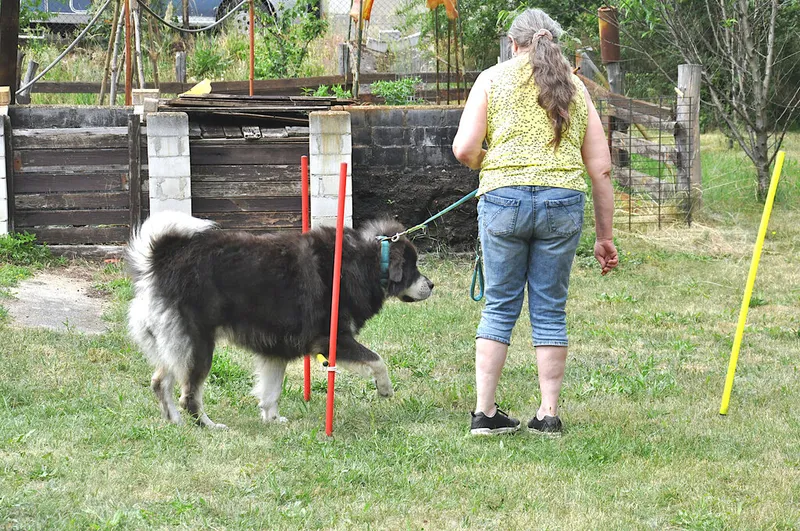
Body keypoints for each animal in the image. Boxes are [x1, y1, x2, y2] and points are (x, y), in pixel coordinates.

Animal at [126, 211, 433, 428]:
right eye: (413, 267)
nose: (431, 285)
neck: (365, 262)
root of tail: (161, 259)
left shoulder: (275, 350)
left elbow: (271, 392)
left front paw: (272, 420)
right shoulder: (332, 339)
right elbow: (377, 360)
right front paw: (385, 389)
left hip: (176, 347)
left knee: (160, 382)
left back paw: (176, 422)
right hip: (198, 346)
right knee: (189, 395)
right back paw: (208, 425)